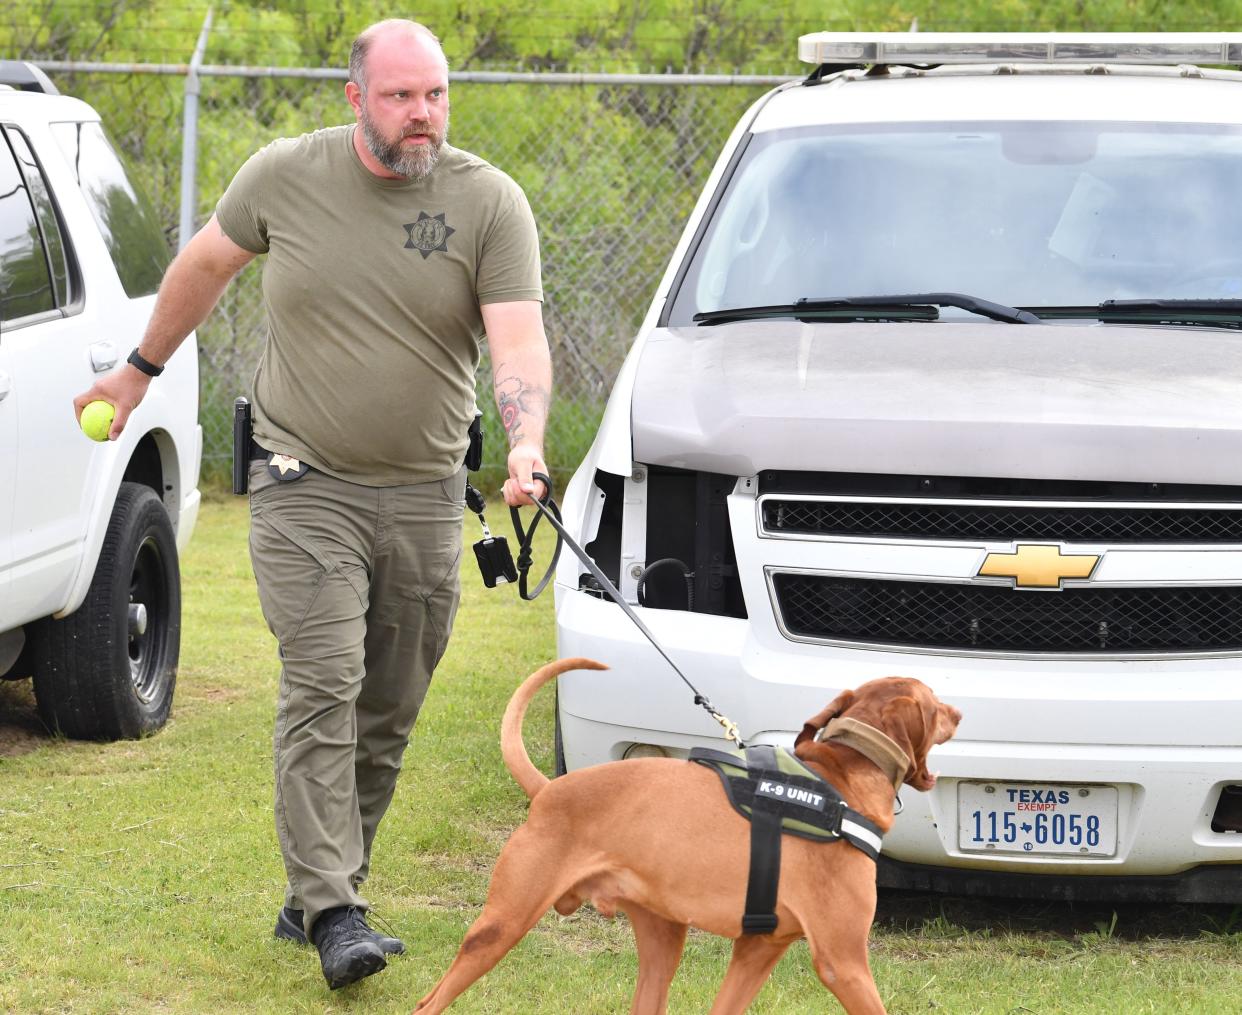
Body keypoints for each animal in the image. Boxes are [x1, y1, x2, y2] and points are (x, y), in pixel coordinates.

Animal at [414, 655, 958, 1013]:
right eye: (936, 702)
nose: (960, 712)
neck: (841, 782)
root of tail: (549, 790)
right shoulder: (844, 962)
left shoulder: (757, 950)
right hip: (498, 929)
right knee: (428, 1003)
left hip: (662, 942)